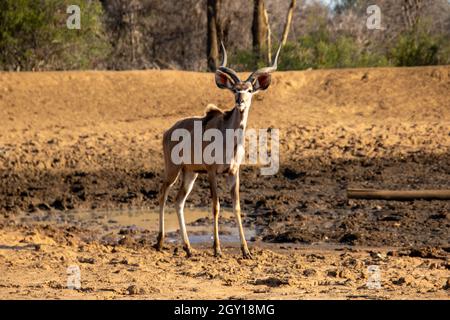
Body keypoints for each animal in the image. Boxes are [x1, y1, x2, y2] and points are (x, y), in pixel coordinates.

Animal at [156, 42, 282, 258]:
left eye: (250, 90)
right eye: (235, 90)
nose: (240, 101)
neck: (229, 142)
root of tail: (168, 131)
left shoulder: (233, 172)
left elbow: (237, 207)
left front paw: (246, 251)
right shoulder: (212, 171)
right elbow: (216, 206)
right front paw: (217, 249)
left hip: (190, 173)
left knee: (179, 201)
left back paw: (188, 248)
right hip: (173, 169)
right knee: (164, 193)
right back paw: (160, 242)